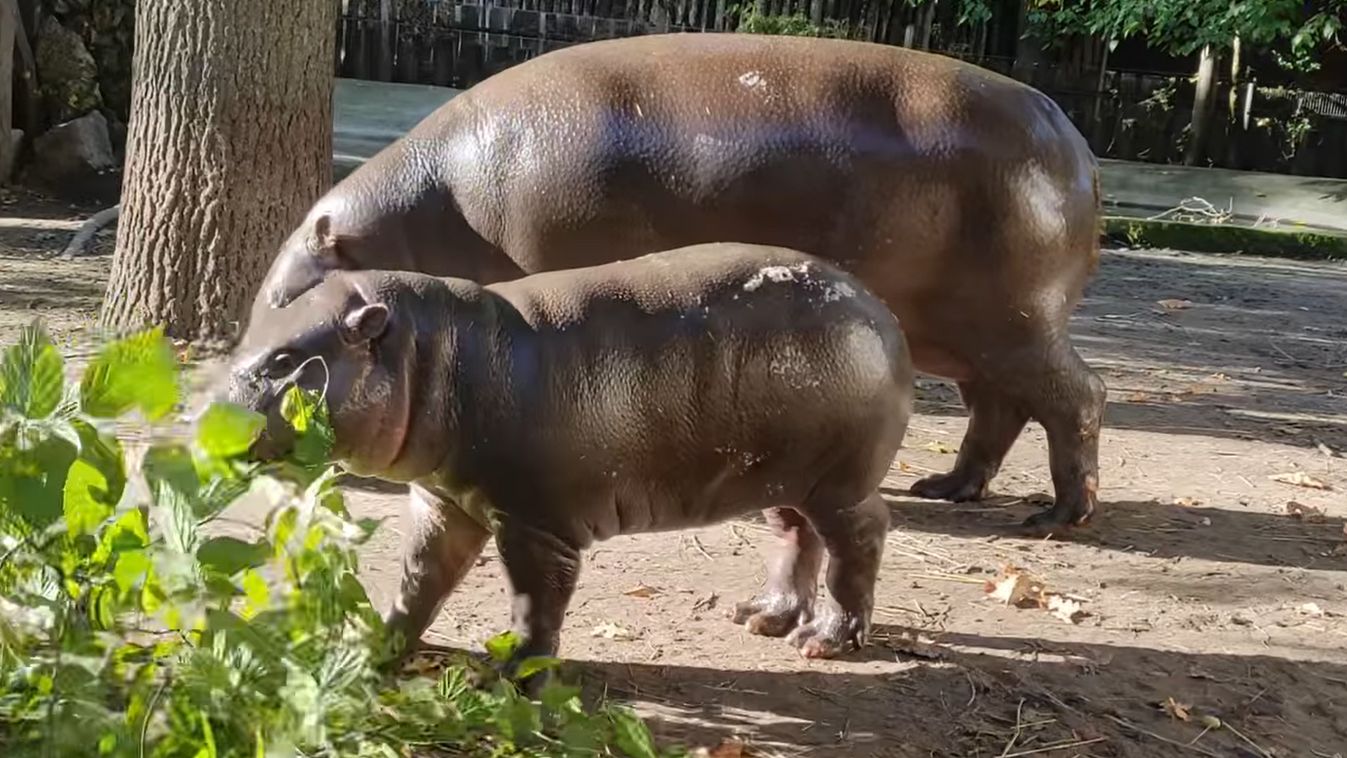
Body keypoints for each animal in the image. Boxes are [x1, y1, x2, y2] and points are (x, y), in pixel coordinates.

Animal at [226, 243, 910, 670]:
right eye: (251, 333)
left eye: (286, 360)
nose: (210, 415)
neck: (436, 353)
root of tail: (879, 311)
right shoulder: (444, 502)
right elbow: (420, 579)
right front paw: (374, 646)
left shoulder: (535, 522)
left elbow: (536, 600)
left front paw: (512, 671)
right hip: (777, 478)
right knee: (797, 537)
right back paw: (762, 619)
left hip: (838, 482)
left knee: (862, 537)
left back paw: (823, 642)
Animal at [253, 35, 1104, 535]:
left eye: (284, 298)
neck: (425, 204)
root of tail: (1069, 129)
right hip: (963, 334)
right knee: (997, 409)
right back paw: (945, 488)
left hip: (1011, 321)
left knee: (1076, 397)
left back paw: (1056, 518)